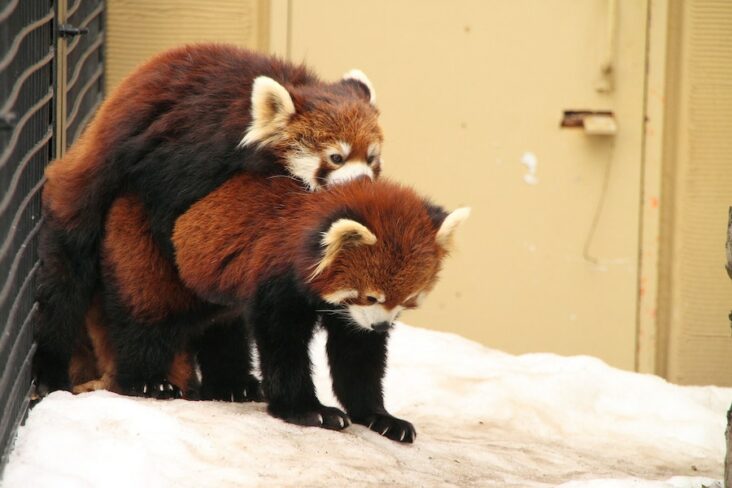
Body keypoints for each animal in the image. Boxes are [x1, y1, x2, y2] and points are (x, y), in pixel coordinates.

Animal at [33, 43, 388, 392]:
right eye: (336, 157)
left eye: (371, 158)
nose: (361, 182)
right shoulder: (192, 147)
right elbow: (172, 222)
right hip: (83, 208)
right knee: (67, 284)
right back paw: (60, 372)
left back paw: (233, 381)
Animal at [94, 174, 466, 442]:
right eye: (370, 297)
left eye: (406, 301)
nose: (380, 327)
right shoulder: (277, 281)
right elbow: (283, 346)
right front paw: (308, 411)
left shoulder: (349, 318)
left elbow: (359, 357)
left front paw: (380, 416)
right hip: (147, 249)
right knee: (149, 314)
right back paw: (145, 382)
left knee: (223, 329)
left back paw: (233, 385)